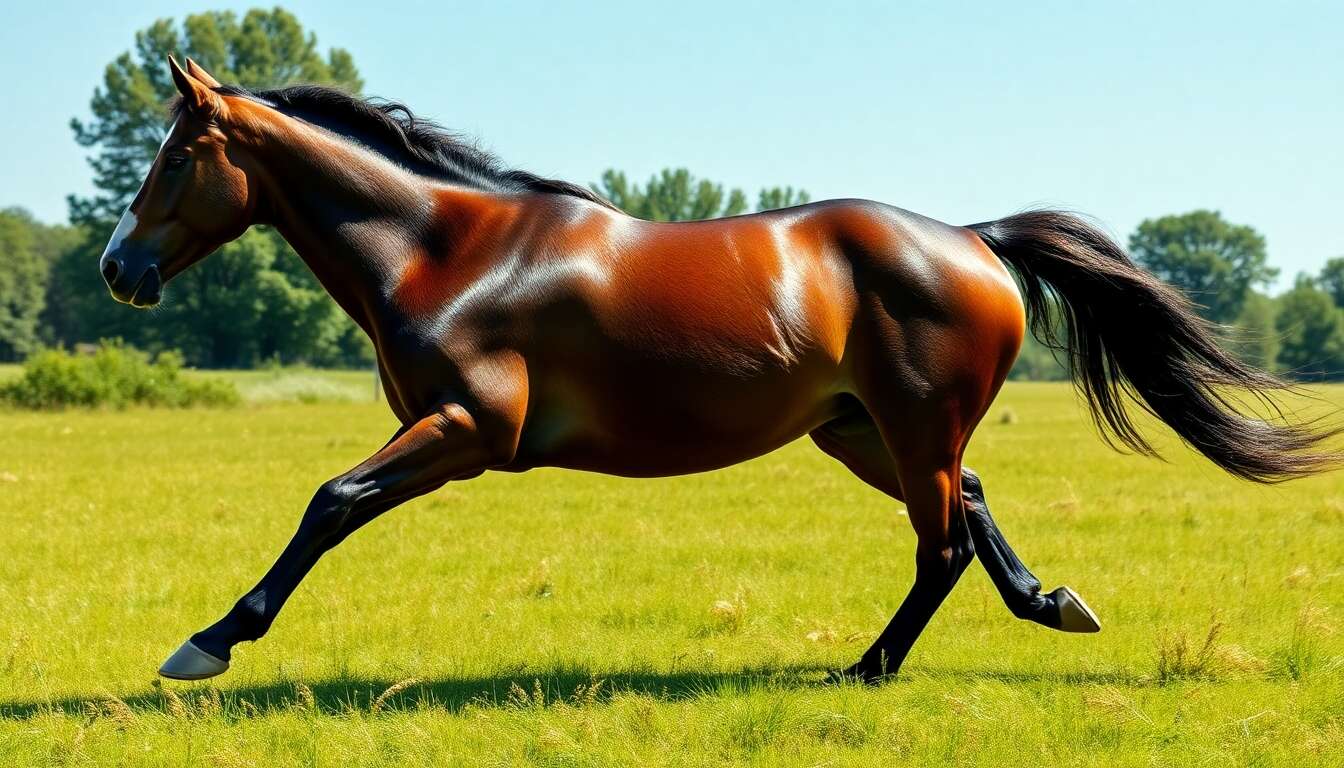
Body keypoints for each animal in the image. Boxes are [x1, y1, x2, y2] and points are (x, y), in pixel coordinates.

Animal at [99, 57, 1339, 682]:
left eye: (177, 156)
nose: (118, 268)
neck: (448, 253)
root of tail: (975, 239)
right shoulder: (450, 434)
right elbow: (332, 502)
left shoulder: (464, 432)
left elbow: (330, 500)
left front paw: (207, 643)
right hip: (860, 428)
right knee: (973, 507)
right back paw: (1050, 605)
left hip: (911, 425)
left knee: (940, 543)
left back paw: (866, 669)